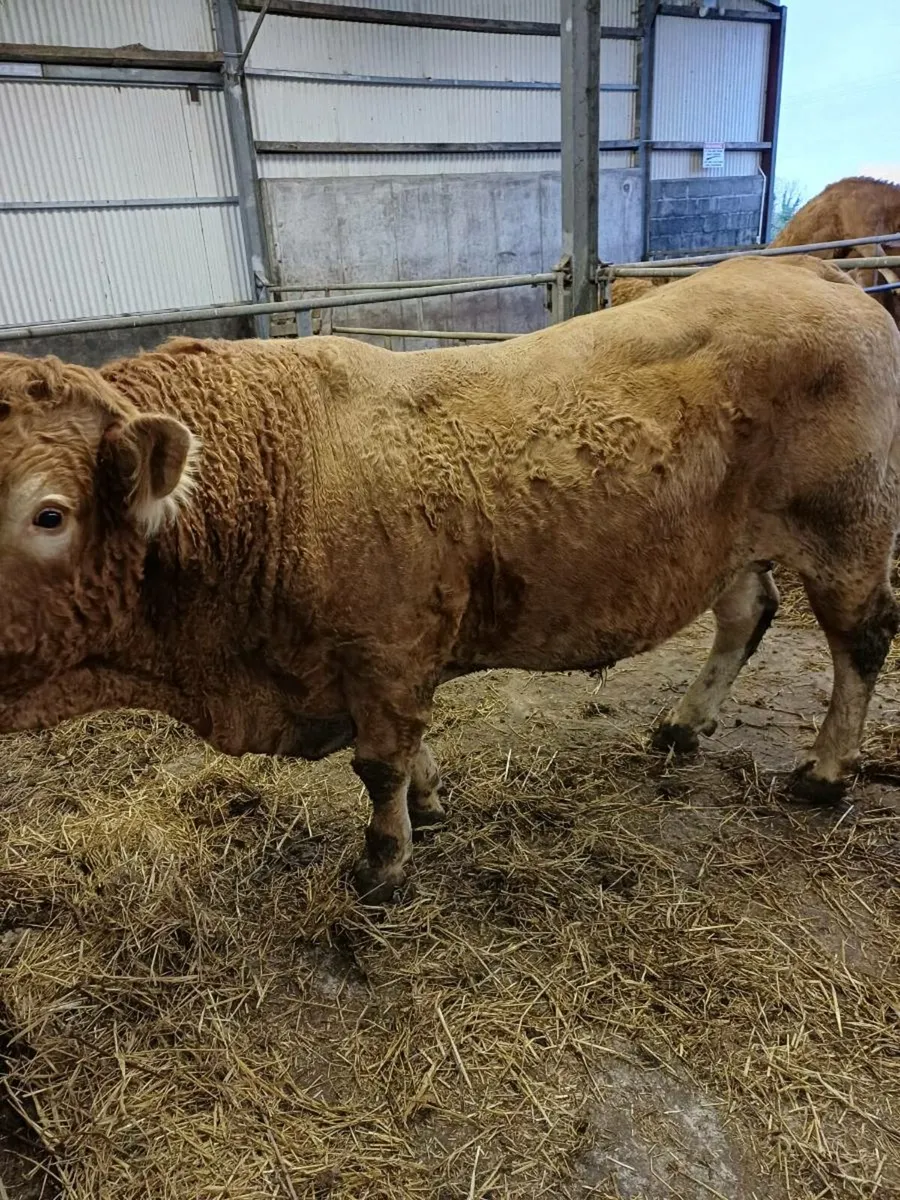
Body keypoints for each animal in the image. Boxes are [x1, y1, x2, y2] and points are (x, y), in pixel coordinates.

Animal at [1, 254, 899, 903]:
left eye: (48, 514)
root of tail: (810, 273)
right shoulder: (375, 664)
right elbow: (406, 748)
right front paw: (429, 808)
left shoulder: (385, 649)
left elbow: (378, 763)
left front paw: (382, 863)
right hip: (734, 543)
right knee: (746, 613)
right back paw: (684, 724)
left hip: (848, 528)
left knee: (861, 638)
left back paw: (825, 772)